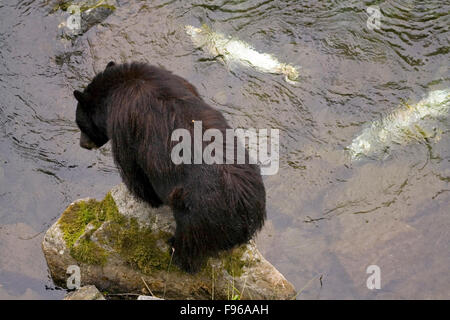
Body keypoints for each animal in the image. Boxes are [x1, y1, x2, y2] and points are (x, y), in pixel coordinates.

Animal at [72, 60, 266, 272]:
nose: (82, 144)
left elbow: (133, 169)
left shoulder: (124, 126)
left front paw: (146, 198)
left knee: (189, 244)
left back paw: (174, 250)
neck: (120, 85)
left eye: (80, 124)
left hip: (195, 216)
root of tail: (243, 209)